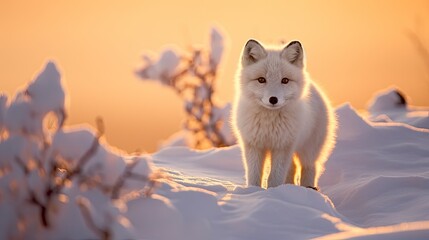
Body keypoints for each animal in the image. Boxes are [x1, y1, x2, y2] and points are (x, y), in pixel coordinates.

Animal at [232, 39, 336, 189]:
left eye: (285, 80)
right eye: (261, 79)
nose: (273, 99)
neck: (269, 123)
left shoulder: (283, 147)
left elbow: (275, 176)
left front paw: (274, 192)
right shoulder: (253, 145)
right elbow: (254, 174)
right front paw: (253, 190)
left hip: (308, 151)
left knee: (309, 168)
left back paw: (308, 189)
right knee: (292, 169)